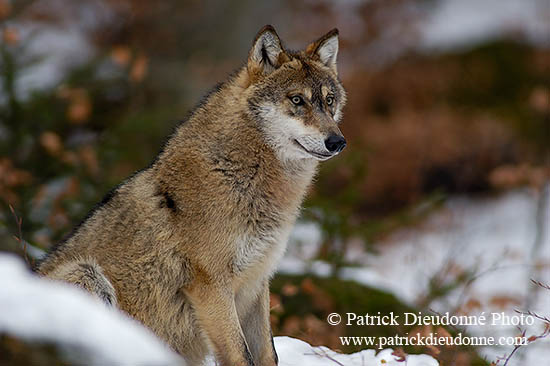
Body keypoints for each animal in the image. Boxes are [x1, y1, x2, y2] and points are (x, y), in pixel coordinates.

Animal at [37, 25, 350, 364]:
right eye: (297, 100)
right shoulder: (212, 287)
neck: (239, 174)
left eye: (329, 101)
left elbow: (268, 355)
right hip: (86, 275)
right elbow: (241, 356)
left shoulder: (257, 282)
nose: (337, 142)